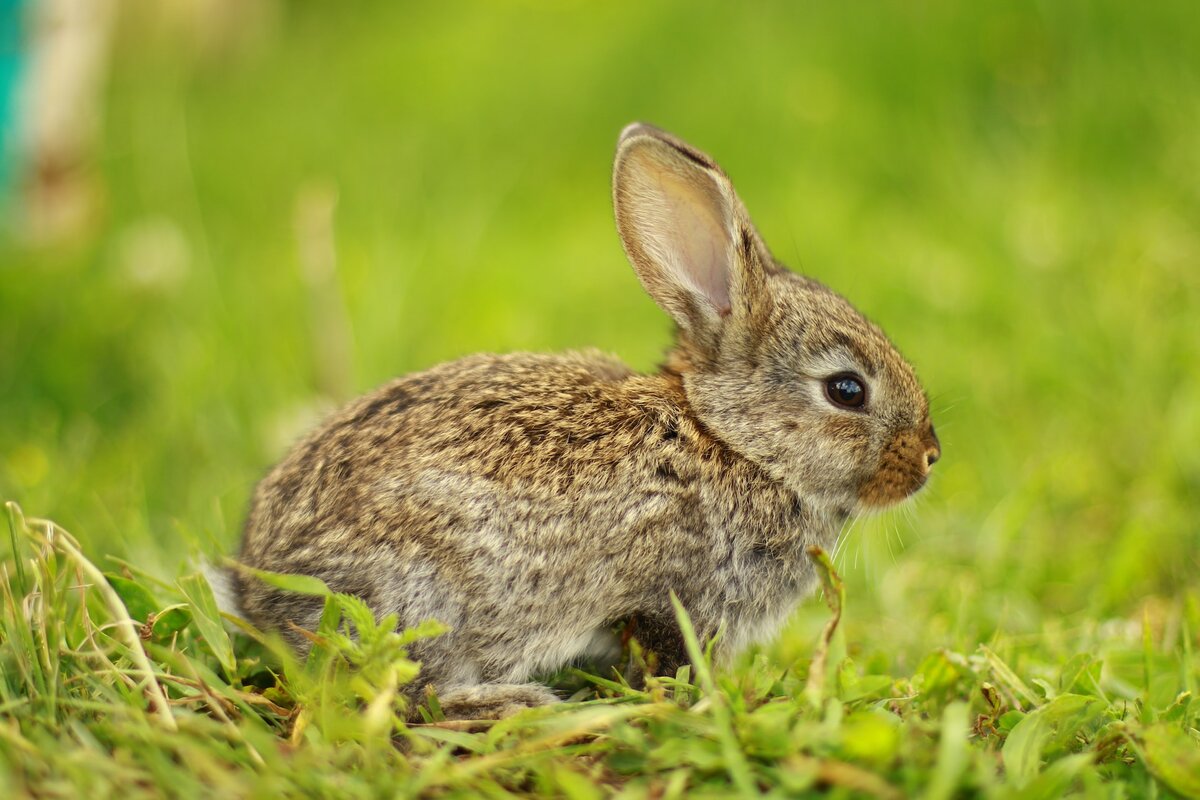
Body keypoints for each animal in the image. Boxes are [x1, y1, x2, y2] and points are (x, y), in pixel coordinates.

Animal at [234, 123, 940, 719]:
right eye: (846, 390)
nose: (930, 456)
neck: (732, 442)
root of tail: (254, 593)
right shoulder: (673, 594)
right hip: (424, 602)